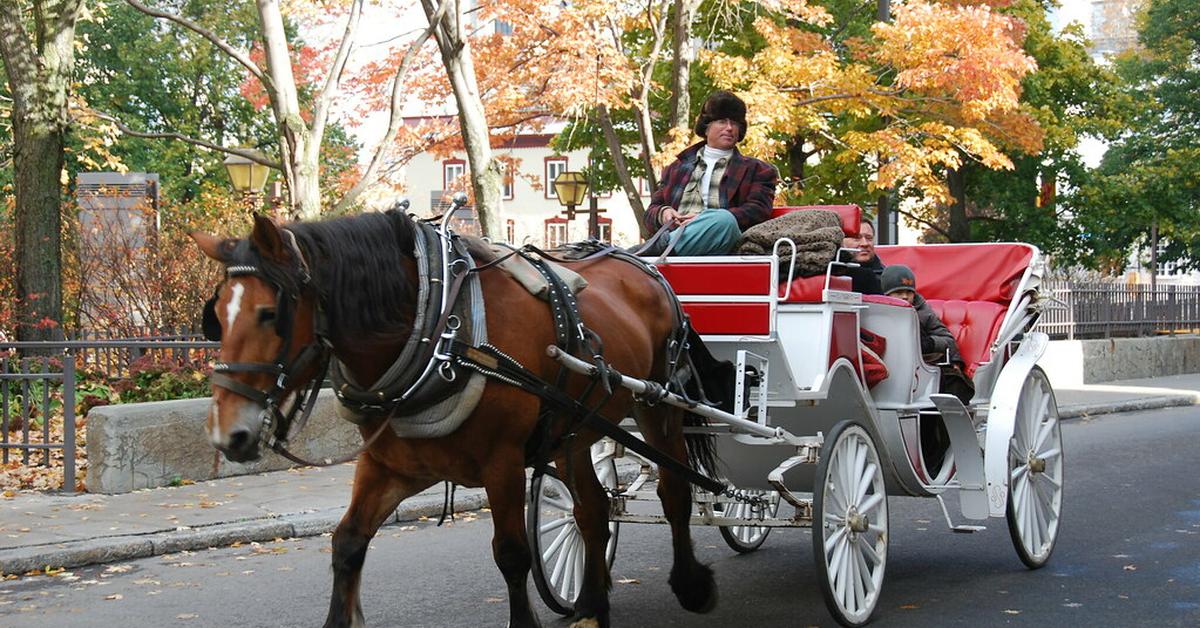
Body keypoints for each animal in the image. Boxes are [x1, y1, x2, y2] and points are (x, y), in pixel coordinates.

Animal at [195, 212, 715, 628]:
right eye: (216, 315)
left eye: (269, 314)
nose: (227, 433)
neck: (439, 327)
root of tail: (645, 265)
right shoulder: (391, 465)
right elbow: (347, 543)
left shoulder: (502, 463)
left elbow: (512, 554)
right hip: (574, 430)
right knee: (592, 510)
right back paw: (589, 605)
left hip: (658, 406)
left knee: (674, 492)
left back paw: (691, 583)